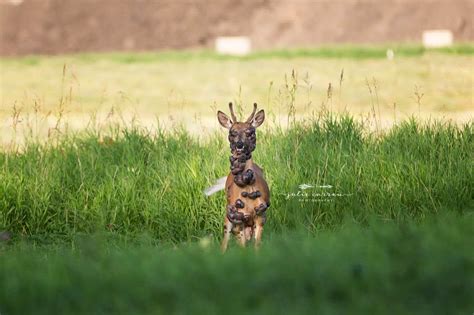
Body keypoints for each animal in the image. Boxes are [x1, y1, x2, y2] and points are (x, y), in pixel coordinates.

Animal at [205, 103, 270, 252]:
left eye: (250, 132)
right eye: (232, 132)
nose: (240, 145)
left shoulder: (260, 217)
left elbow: (257, 247)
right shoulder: (239, 218)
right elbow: (243, 247)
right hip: (228, 217)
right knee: (224, 242)